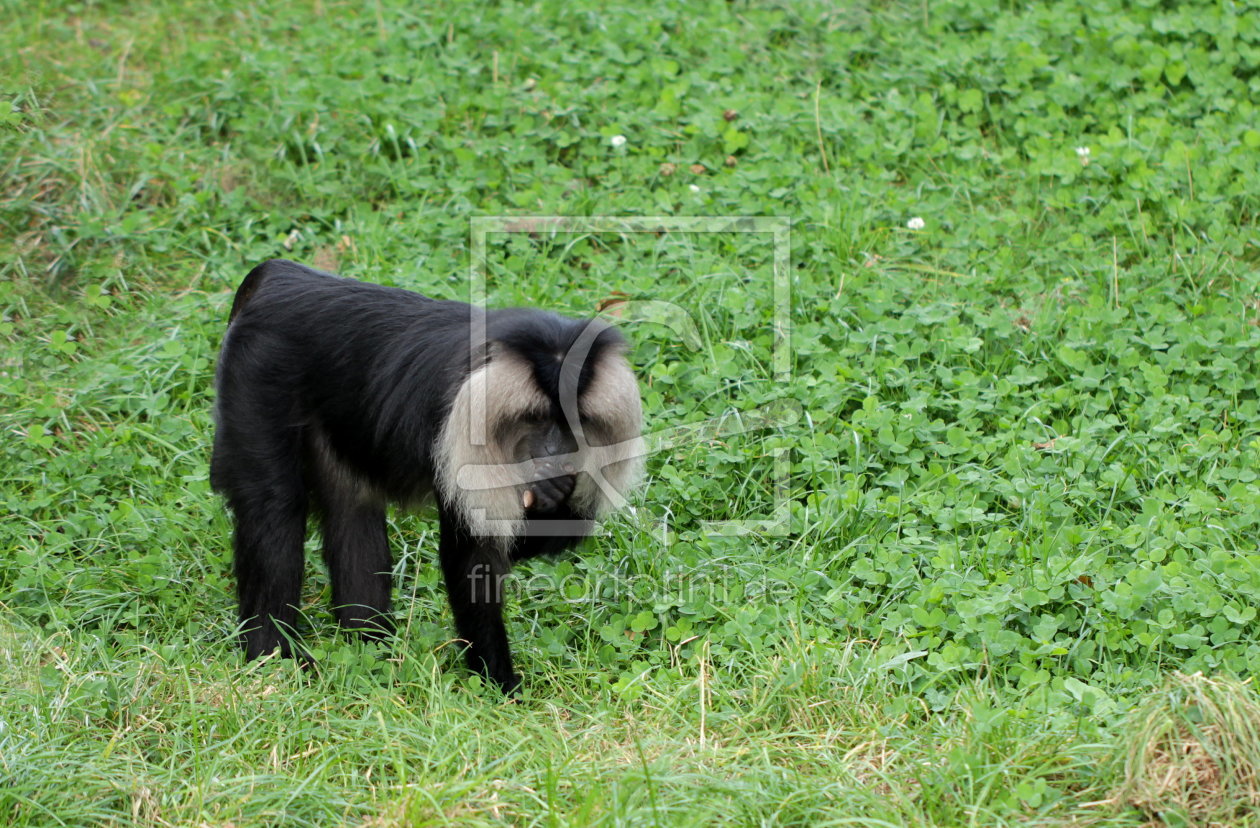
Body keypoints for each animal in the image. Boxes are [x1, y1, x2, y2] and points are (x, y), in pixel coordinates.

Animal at [207, 258, 645, 690]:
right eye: (537, 419)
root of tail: (282, 276)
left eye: (572, 423)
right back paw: (271, 655)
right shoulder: (463, 440)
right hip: (259, 373)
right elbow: (471, 558)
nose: (556, 456)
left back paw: (371, 647)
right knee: (274, 507)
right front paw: (499, 685)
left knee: (352, 509)